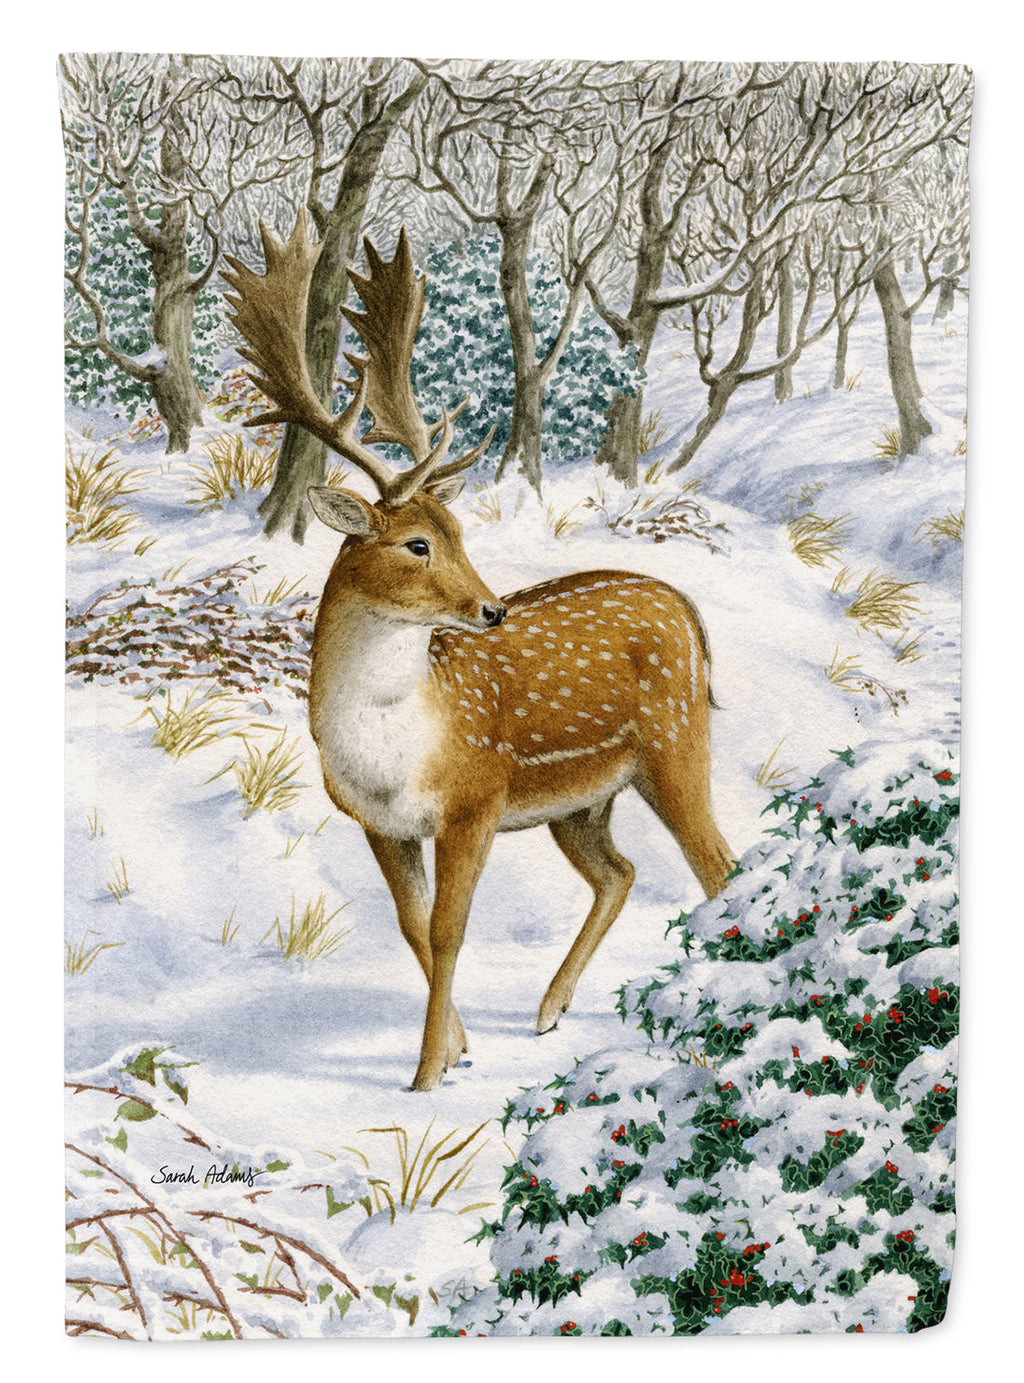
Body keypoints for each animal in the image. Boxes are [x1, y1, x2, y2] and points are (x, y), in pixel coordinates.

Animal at [222, 210, 735, 1092]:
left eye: (460, 531)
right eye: (418, 543)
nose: (491, 608)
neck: (393, 746)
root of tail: (687, 610)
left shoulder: (475, 798)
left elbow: (449, 929)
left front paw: (426, 1075)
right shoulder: (378, 822)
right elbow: (411, 925)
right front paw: (459, 1048)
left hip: (674, 741)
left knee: (717, 866)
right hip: (581, 800)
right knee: (625, 870)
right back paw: (550, 1008)